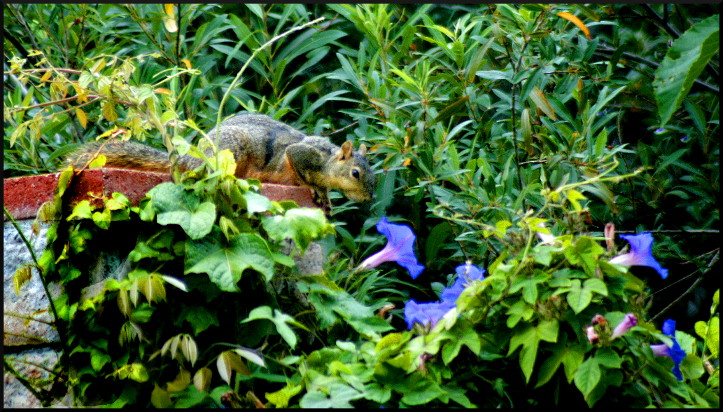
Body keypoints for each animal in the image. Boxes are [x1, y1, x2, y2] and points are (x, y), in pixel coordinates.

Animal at [64, 113, 375, 212]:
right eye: (356, 173)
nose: (369, 199)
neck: (329, 161)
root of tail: (193, 157)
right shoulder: (301, 154)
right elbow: (300, 170)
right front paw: (318, 191)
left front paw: (329, 197)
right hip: (231, 152)